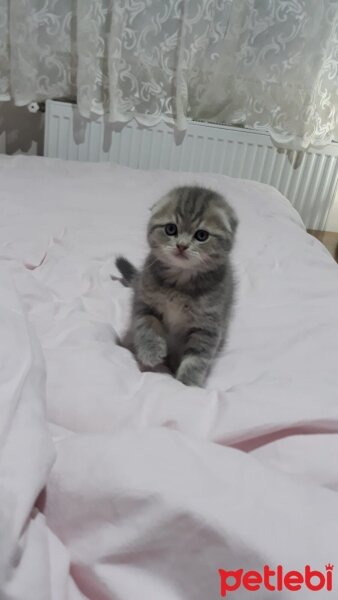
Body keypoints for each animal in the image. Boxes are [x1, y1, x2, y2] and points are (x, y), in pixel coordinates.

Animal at [116, 185, 238, 386]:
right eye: (170, 229)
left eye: (201, 235)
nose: (181, 246)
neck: (180, 284)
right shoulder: (143, 301)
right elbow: (147, 325)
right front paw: (151, 352)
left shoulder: (208, 324)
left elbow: (197, 357)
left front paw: (188, 383)